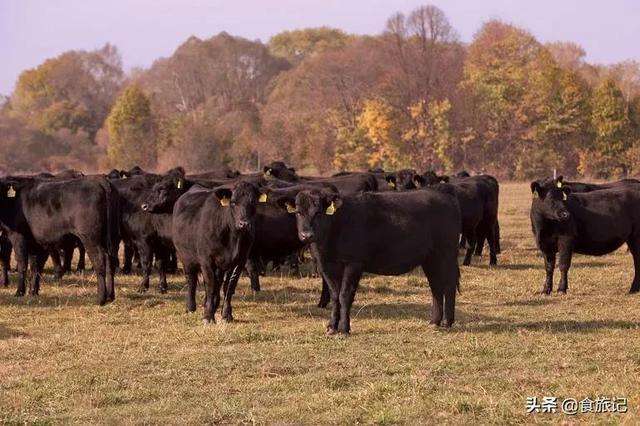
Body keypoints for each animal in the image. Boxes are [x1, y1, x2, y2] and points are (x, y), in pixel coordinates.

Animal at [172, 181, 262, 322]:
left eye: (253, 202)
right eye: (233, 202)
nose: (244, 224)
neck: (233, 237)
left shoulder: (240, 260)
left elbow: (229, 286)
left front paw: (226, 314)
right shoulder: (206, 260)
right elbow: (210, 285)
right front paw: (208, 316)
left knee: (217, 282)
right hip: (184, 256)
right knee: (191, 280)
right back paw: (191, 307)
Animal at [274, 188, 460, 334]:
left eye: (318, 212)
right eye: (298, 212)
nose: (307, 235)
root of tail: (447, 198)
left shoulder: (354, 263)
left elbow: (345, 294)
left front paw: (344, 329)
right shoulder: (325, 265)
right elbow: (334, 295)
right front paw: (331, 327)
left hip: (446, 254)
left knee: (449, 285)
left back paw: (447, 322)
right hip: (430, 259)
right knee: (436, 286)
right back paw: (434, 321)